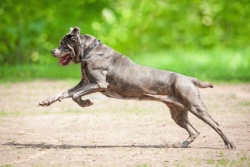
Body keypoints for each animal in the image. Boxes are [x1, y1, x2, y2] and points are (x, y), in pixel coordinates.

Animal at [38, 26, 235, 149]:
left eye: (63, 44)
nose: (52, 51)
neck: (90, 51)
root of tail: (189, 79)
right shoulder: (84, 83)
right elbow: (64, 93)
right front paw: (46, 101)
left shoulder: (97, 84)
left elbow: (74, 96)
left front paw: (85, 103)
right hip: (178, 113)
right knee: (194, 131)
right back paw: (183, 144)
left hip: (195, 106)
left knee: (216, 125)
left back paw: (229, 143)